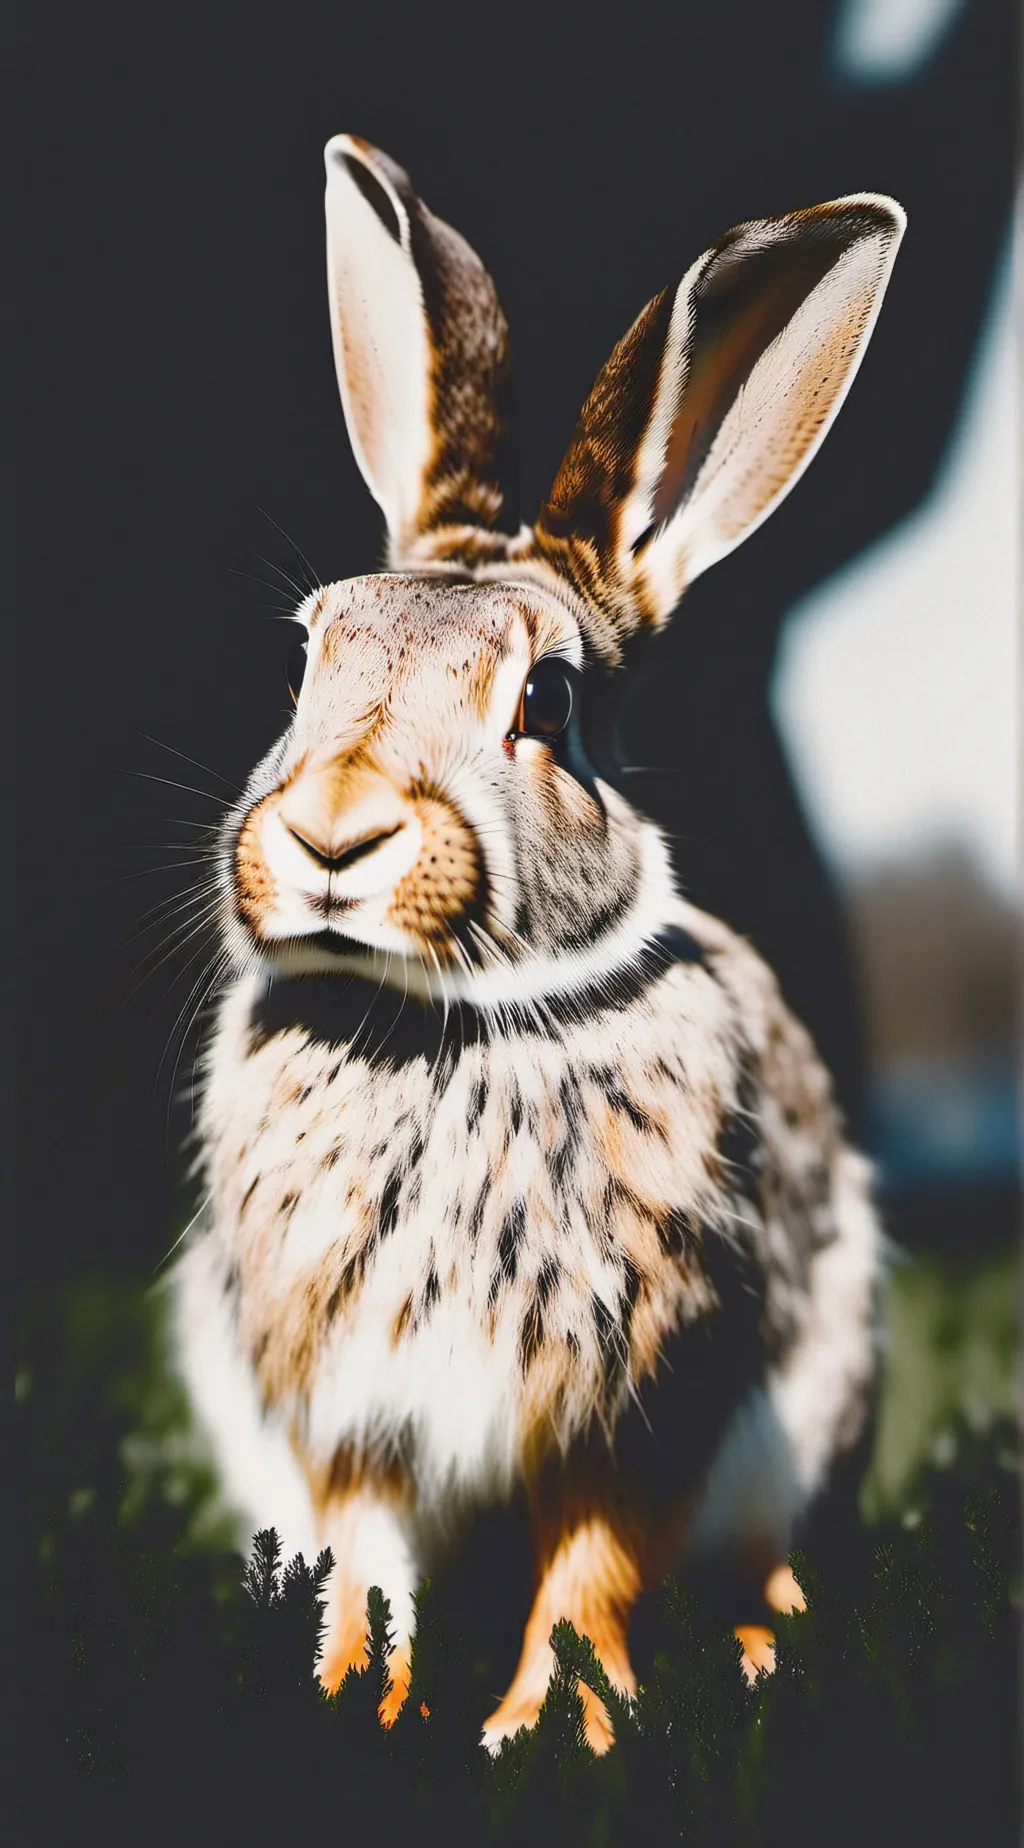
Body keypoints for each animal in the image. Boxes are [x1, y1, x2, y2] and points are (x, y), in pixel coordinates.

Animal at [173, 133, 904, 1753]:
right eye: (307, 660)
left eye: (546, 705)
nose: (332, 836)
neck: (431, 1023)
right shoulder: (348, 1408)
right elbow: (366, 1562)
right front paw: (349, 1709)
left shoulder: (638, 1400)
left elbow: (591, 1570)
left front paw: (543, 1734)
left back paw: (763, 1652)